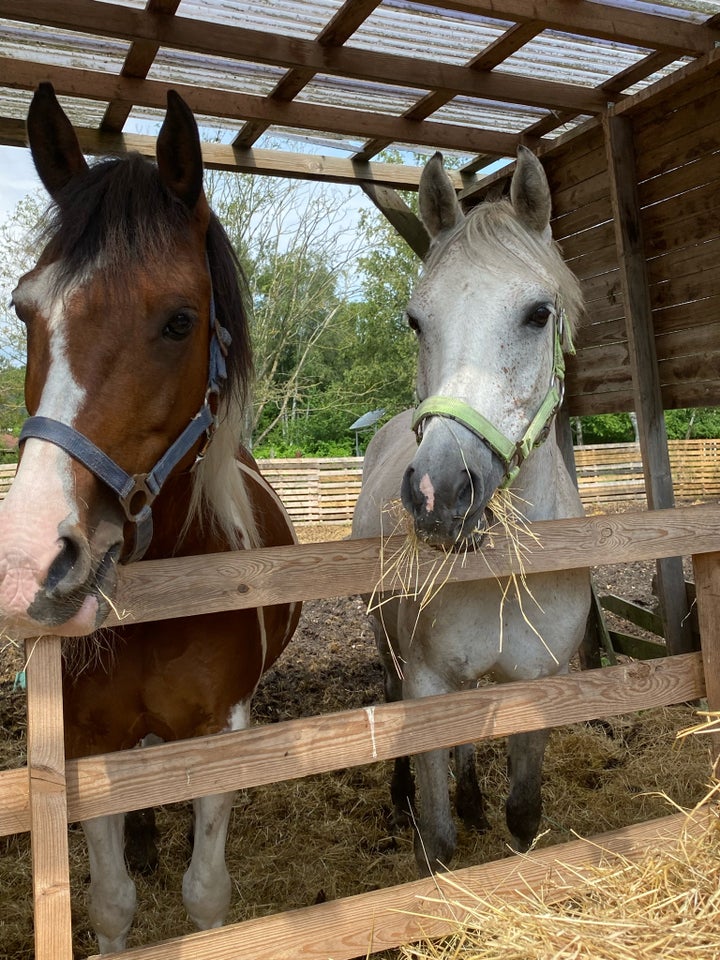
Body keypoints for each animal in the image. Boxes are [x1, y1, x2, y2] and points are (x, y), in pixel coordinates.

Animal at [0, 84, 300, 952]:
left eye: (178, 320)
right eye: (24, 309)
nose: (27, 560)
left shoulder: (221, 732)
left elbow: (206, 894)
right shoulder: (88, 741)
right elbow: (111, 901)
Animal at [352, 148, 592, 876]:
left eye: (538, 313)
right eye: (415, 320)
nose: (439, 493)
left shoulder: (539, 684)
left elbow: (524, 812)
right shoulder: (427, 684)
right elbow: (436, 841)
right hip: (388, 647)